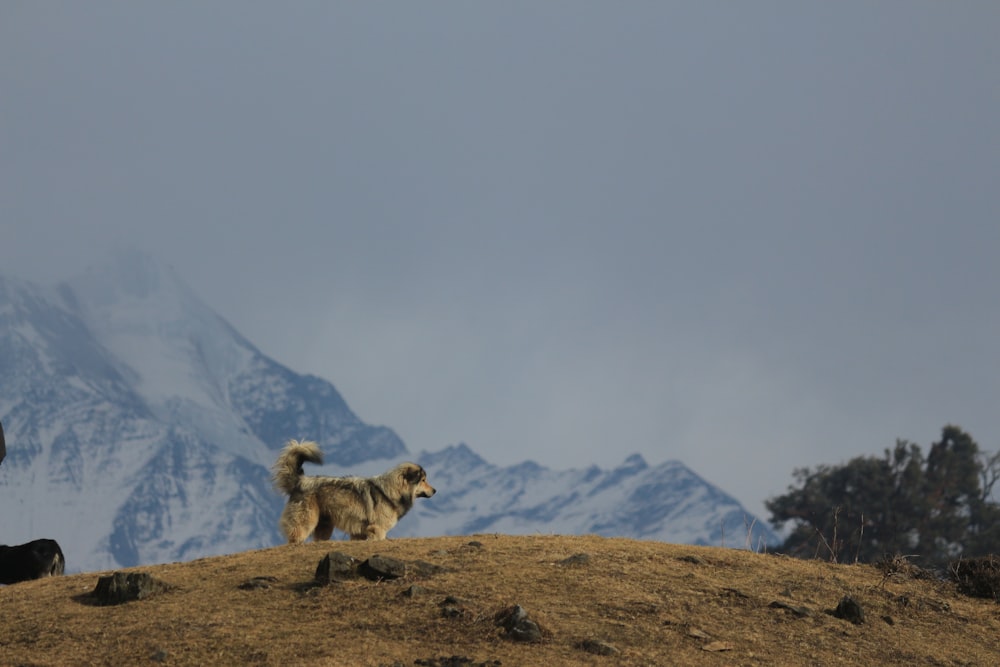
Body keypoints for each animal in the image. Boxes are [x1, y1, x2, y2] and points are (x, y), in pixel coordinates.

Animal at [272, 438, 436, 544]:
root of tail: (300, 481)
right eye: (423, 480)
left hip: (324, 527)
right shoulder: (377, 529)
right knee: (295, 537)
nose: (435, 490)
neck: (390, 492)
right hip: (305, 522)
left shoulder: (359, 532)